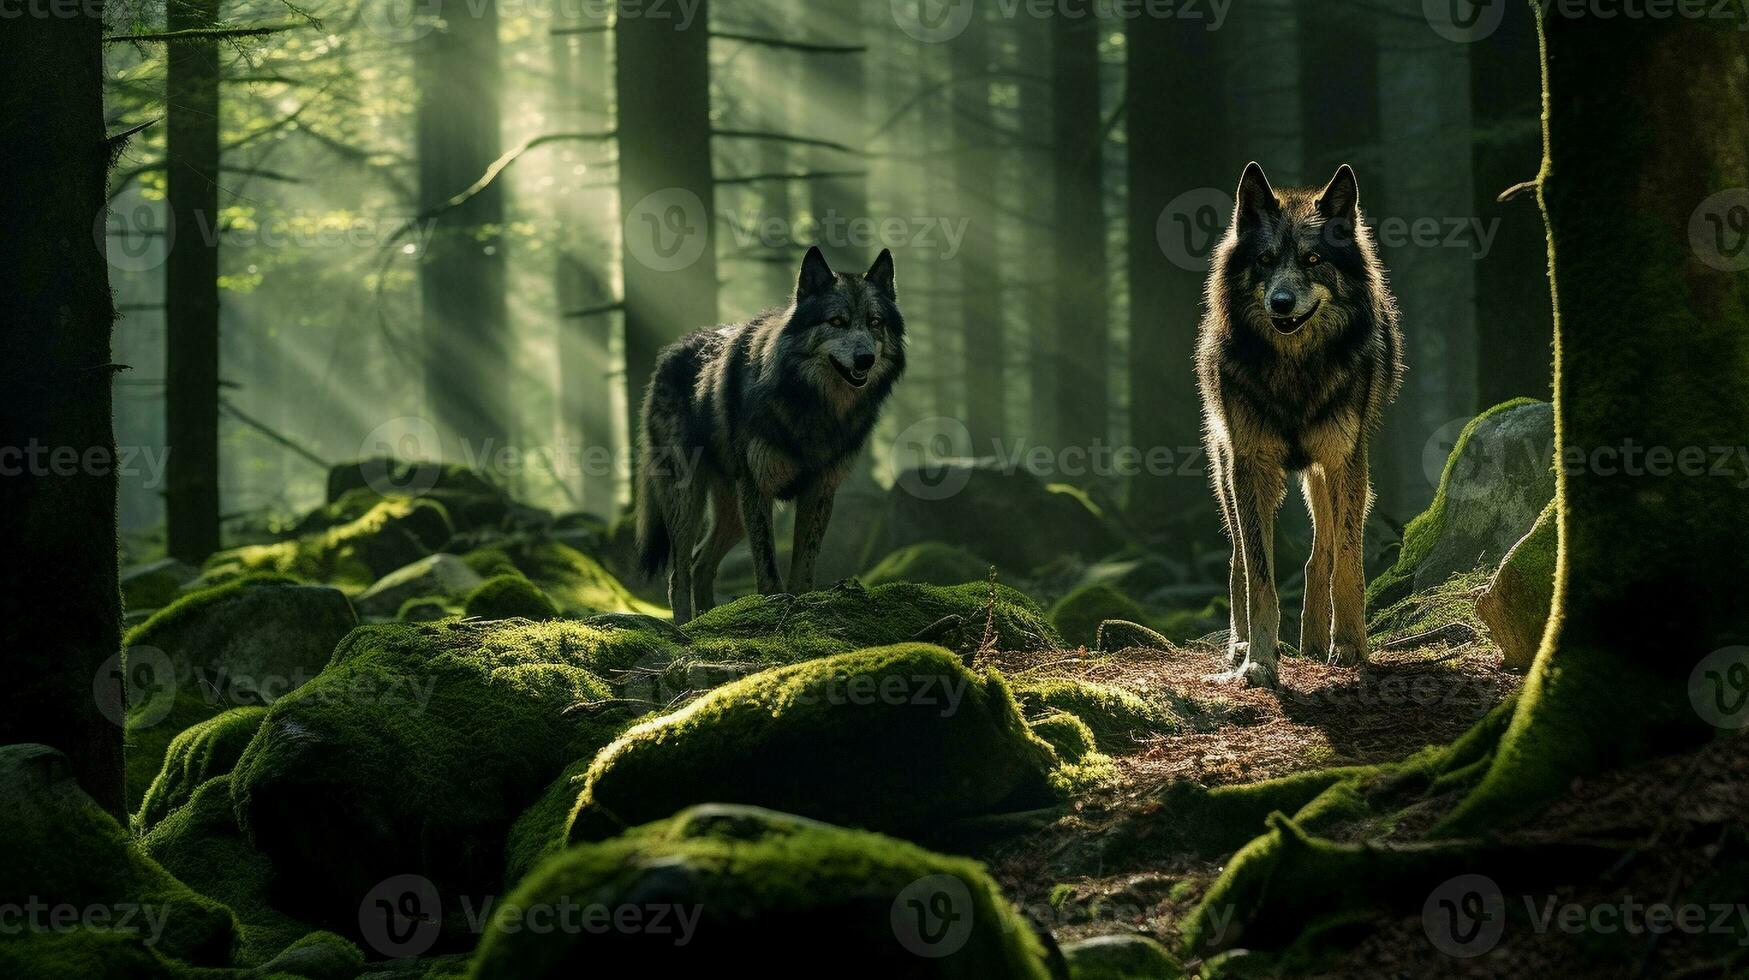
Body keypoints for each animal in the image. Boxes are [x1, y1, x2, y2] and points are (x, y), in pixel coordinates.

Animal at [636, 248, 909, 623]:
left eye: (875, 322)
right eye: (836, 322)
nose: (865, 359)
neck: (814, 406)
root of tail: (670, 350)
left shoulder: (820, 491)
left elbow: (804, 566)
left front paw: (802, 605)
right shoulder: (758, 489)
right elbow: (766, 564)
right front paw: (774, 605)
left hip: (734, 514)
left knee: (700, 564)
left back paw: (708, 620)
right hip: (690, 501)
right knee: (679, 573)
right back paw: (685, 626)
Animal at [1196, 162, 1399, 689]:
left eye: (1312, 259)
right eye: (1266, 260)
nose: (1282, 303)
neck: (1294, 370)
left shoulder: (1345, 459)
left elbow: (1346, 559)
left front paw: (1349, 644)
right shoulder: (1250, 467)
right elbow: (1259, 574)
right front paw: (1258, 660)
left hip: (1325, 475)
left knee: (1319, 555)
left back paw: (1314, 640)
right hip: (1227, 476)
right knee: (1237, 561)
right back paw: (1241, 643)